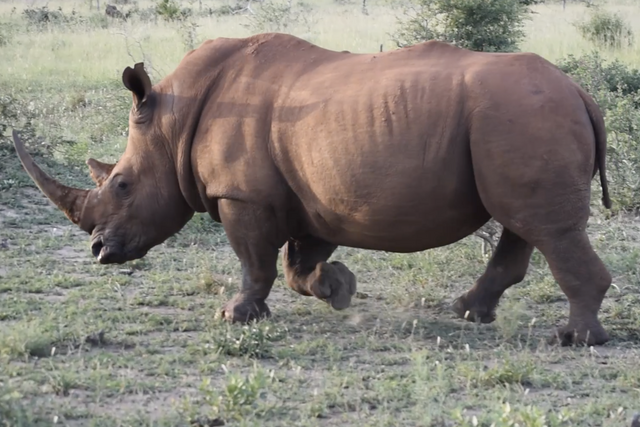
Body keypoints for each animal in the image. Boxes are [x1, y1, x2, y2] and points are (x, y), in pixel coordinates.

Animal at [13, 33, 614, 346]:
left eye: (121, 184)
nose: (98, 252)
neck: (171, 122)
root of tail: (581, 93)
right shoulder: (313, 195)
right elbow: (295, 265)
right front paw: (338, 287)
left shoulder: (242, 196)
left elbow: (254, 260)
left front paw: (235, 316)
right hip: (521, 118)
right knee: (523, 221)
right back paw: (469, 313)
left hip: (523, 115)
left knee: (546, 227)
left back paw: (574, 338)